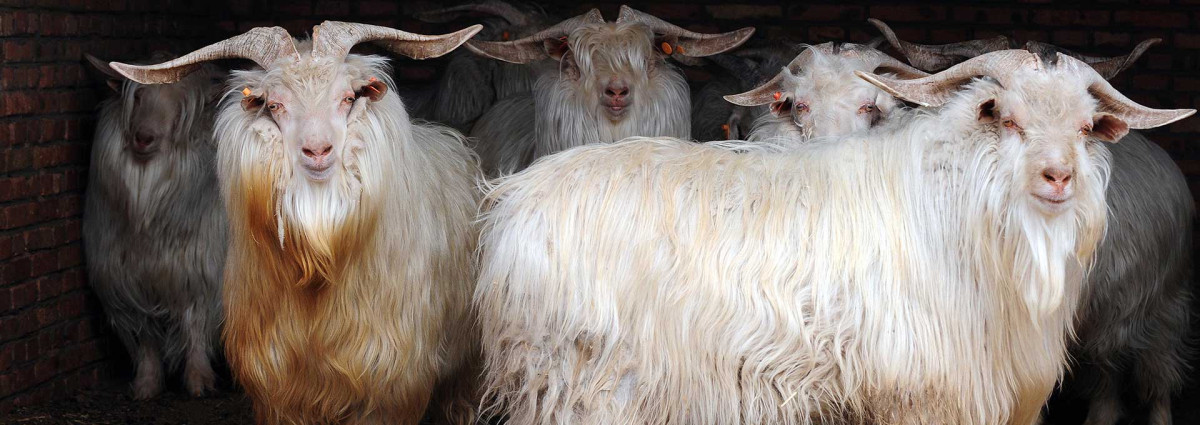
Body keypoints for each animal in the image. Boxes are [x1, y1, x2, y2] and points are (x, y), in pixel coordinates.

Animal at [83, 53, 227, 400]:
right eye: (137, 97)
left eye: (182, 108)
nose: (143, 137)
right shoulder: (129, 280)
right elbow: (145, 334)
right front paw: (146, 385)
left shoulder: (201, 273)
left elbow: (194, 323)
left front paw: (199, 381)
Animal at [473, 50, 1193, 424]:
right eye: (1004, 116)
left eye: (1086, 126)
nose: (1057, 176)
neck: (955, 206)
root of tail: (512, 199)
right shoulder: (917, 396)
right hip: (585, 382)